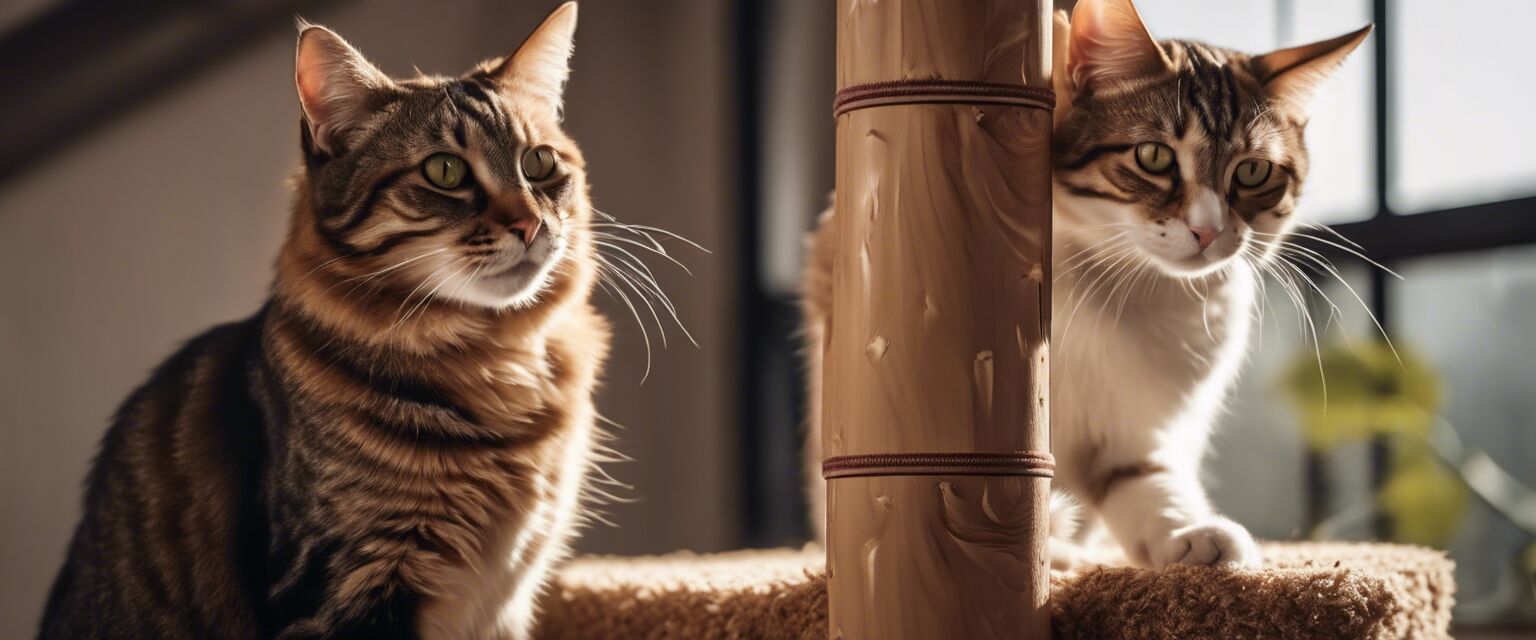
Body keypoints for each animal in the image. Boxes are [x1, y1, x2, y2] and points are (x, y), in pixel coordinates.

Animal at [38, 6, 611, 638]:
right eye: (445, 171)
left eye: (539, 162)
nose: (531, 225)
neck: (499, 360)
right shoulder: (347, 581)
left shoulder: (506, 598)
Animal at [804, 0, 1370, 567]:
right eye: (1154, 156)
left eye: (1252, 171)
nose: (1208, 230)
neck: (1131, 288)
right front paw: (1044, 543)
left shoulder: (1136, 431)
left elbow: (1149, 483)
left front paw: (1191, 534)